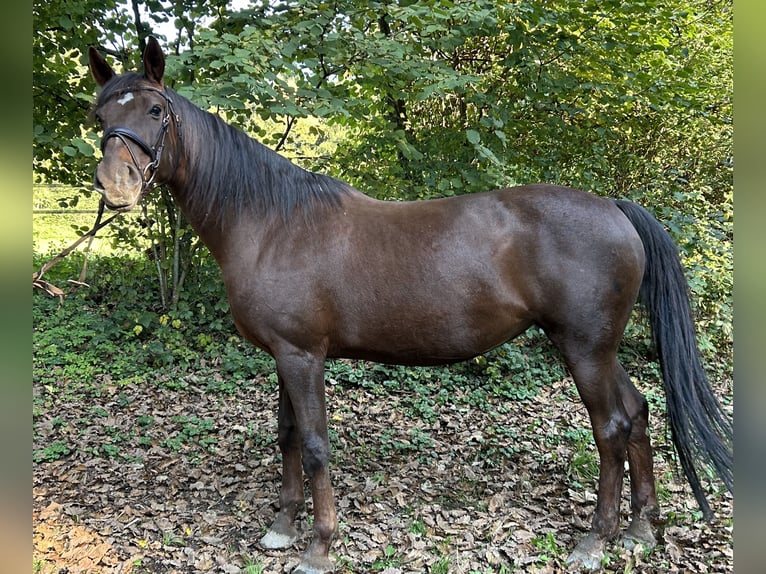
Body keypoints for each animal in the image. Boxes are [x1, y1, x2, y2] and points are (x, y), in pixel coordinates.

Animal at [87, 37, 732, 572]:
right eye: (100, 116)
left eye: (154, 111)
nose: (115, 185)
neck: (272, 224)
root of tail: (615, 207)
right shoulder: (283, 355)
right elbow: (289, 436)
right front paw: (281, 528)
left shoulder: (302, 356)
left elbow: (316, 446)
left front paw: (319, 548)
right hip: (598, 348)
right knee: (639, 413)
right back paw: (641, 531)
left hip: (583, 348)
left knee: (611, 430)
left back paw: (596, 540)